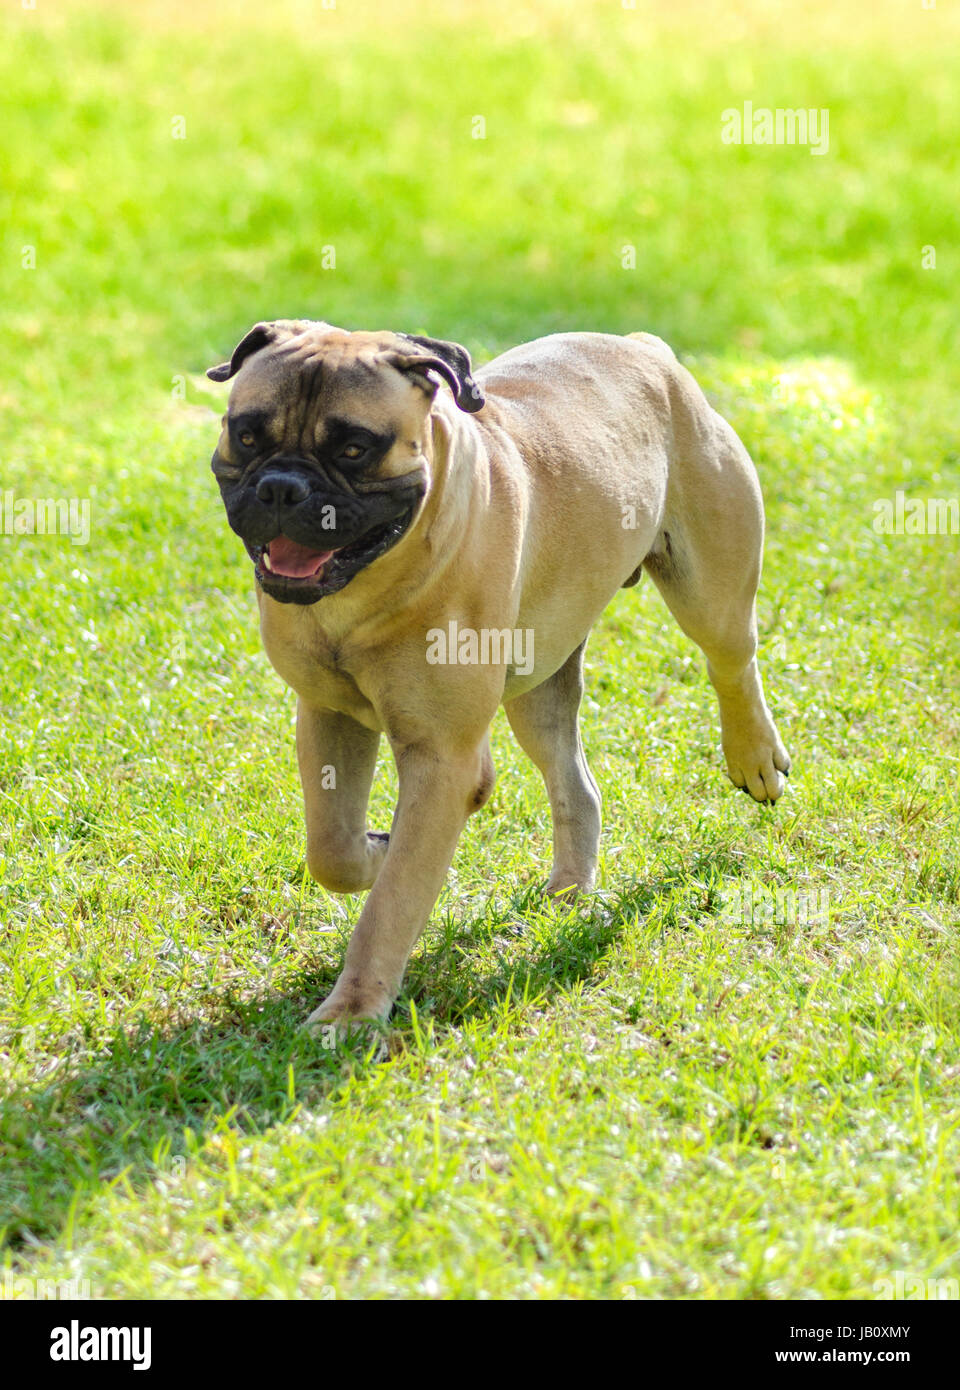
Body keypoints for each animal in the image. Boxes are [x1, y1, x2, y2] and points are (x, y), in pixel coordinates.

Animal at [207, 319, 794, 1028]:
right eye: (246, 435)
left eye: (353, 448)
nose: (281, 487)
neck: (368, 591)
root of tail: (643, 346)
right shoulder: (330, 716)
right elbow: (333, 848)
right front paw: (377, 848)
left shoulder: (441, 758)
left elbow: (392, 903)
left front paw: (352, 1011)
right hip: (539, 688)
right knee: (575, 784)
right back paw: (570, 889)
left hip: (710, 589)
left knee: (732, 662)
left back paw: (754, 757)